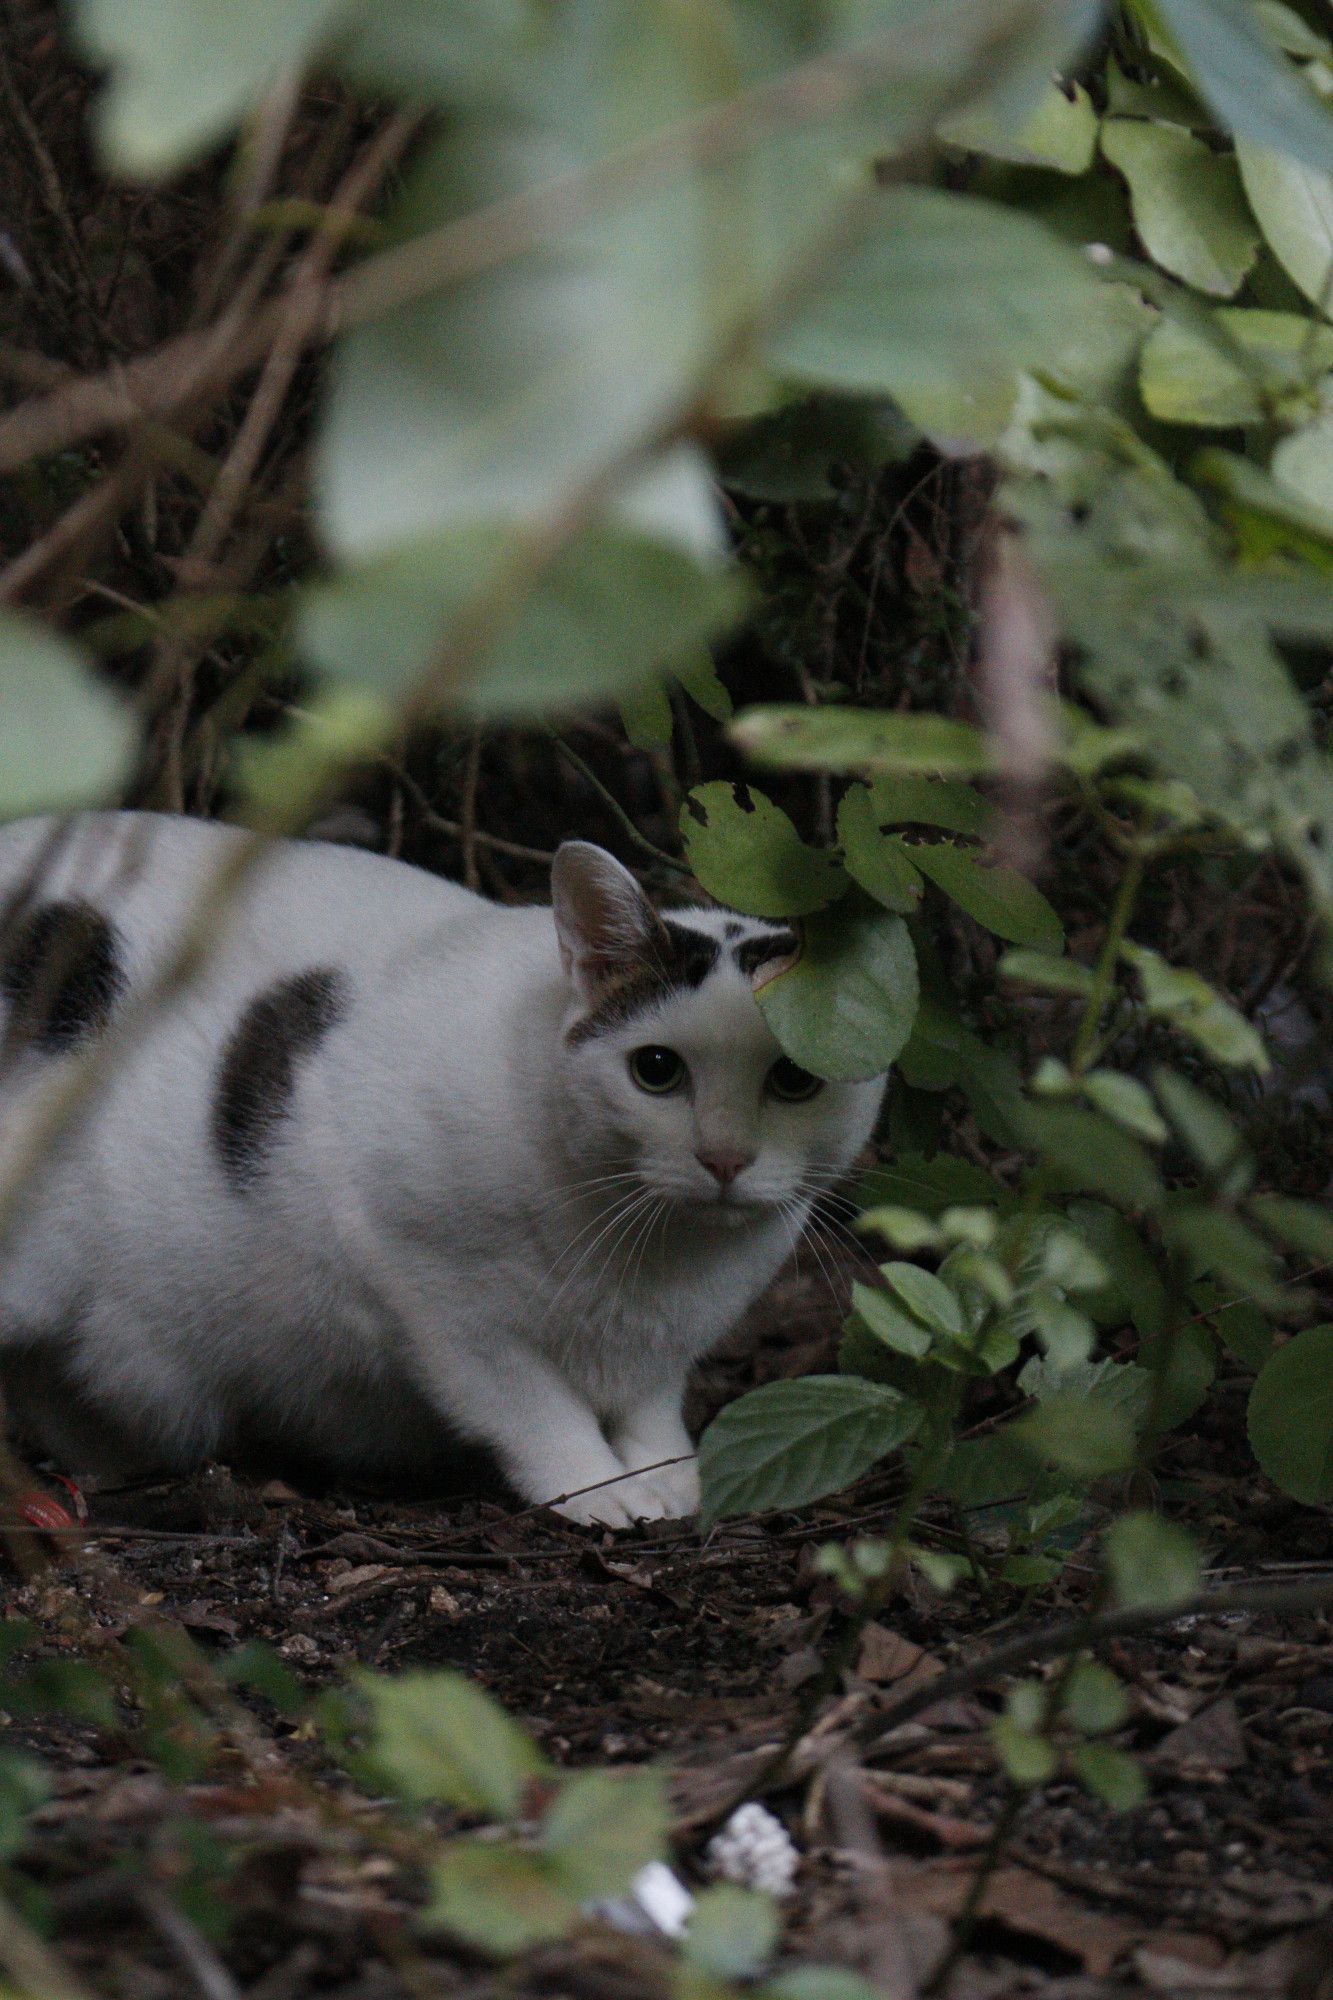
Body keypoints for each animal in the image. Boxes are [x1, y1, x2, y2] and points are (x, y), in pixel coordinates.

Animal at [0, 804, 880, 1520]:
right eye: (656, 1071)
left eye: (793, 1080)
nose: (724, 1156)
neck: (653, 1256)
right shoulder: (430, 1286)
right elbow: (534, 1406)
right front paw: (598, 1488)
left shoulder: (662, 1348)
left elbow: (650, 1404)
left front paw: (667, 1471)